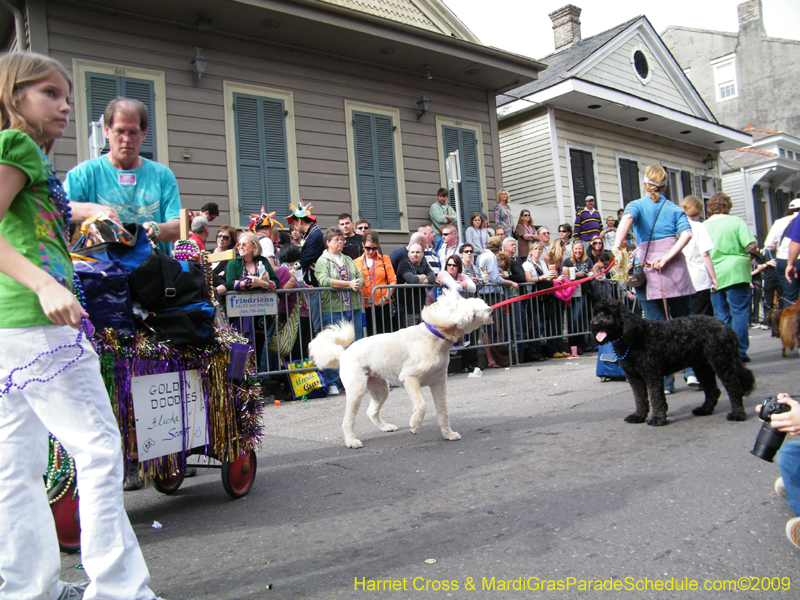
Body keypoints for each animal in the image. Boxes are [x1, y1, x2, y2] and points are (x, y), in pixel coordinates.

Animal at [588, 300, 756, 426]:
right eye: (595, 312)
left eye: (608, 312)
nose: (595, 323)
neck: (633, 337)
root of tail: (726, 327)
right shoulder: (635, 378)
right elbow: (640, 399)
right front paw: (639, 416)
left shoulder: (652, 375)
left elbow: (656, 398)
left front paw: (658, 419)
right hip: (703, 368)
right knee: (713, 391)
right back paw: (704, 410)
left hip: (722, 364)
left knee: (734, 389)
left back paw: (737, 414)